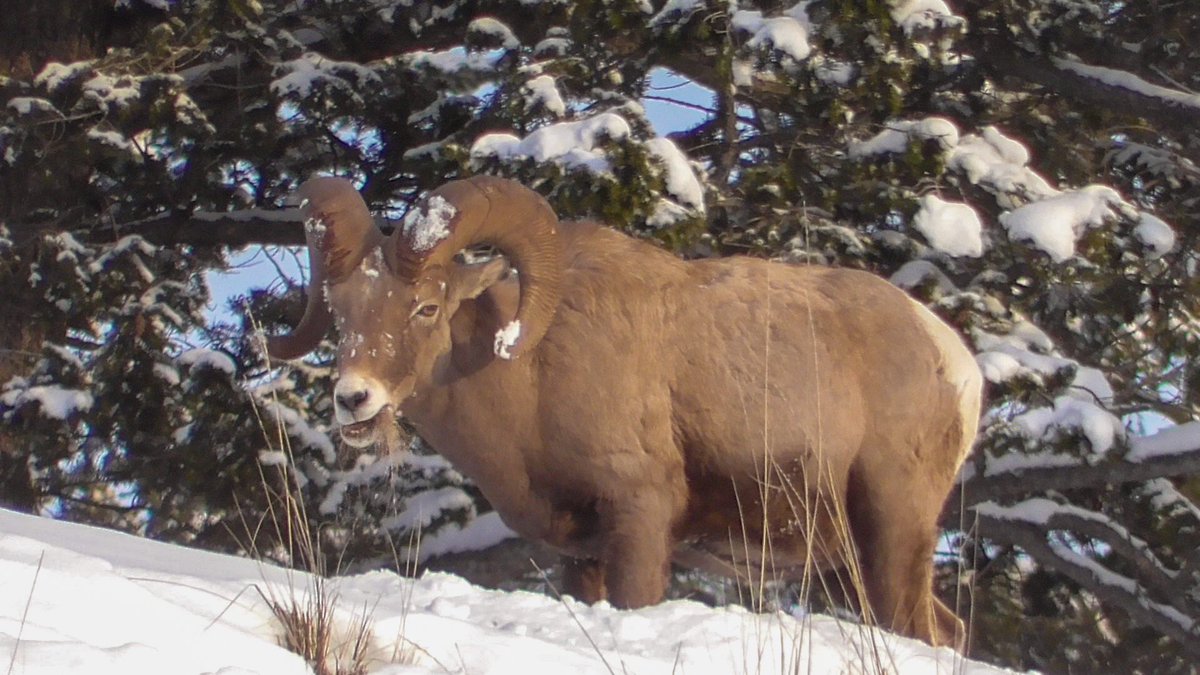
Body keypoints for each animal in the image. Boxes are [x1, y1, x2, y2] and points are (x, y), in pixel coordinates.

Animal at [267, 175, 982, 648]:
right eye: (340, 313)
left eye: (426, 307)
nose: (354, 398)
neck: (528, 380)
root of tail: (956, 363)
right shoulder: (583, 554)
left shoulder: (639, 517)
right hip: (846, 565)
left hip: (893, 531)